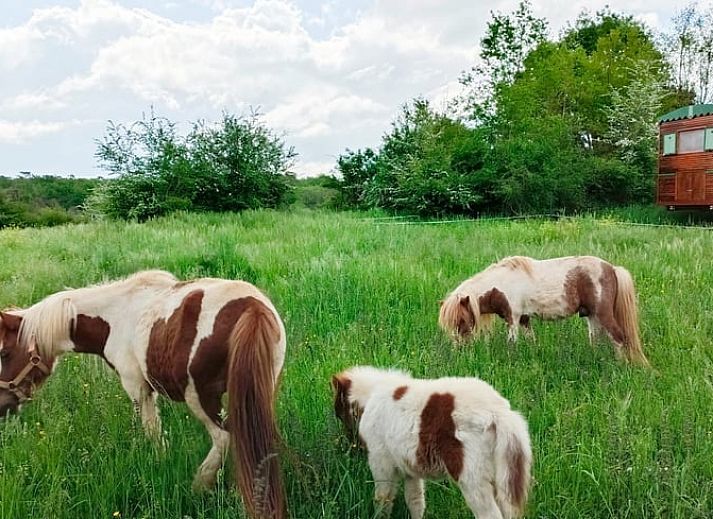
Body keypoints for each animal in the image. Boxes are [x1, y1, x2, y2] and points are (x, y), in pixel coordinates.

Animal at [0, 272, 290, 519]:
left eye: (4, 353)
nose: (3, 406)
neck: (114, 316)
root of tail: (252, 309)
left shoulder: (137, 388)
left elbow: (152, 431)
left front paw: (161, 463)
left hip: (202, 398)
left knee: (224, 437)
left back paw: (199, 485)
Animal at [330, 368, 532, 516]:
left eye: (339, 413)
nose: (352, 445)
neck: (372, 396)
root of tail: (499, 412)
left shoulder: (381, 462)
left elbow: (383, 500)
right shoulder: (409, 468)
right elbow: (415, 501)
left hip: (473, 478)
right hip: (504, 476)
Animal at [436, 256, 648, 366]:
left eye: (462, 320)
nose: (458, 350)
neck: (501, 283)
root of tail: (612, 268)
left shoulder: (513, 318)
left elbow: (512, 343)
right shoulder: (524, 318)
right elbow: (531, 339)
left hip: (603, 314)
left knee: (618, 338)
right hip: (592, 316)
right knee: (596, 338)